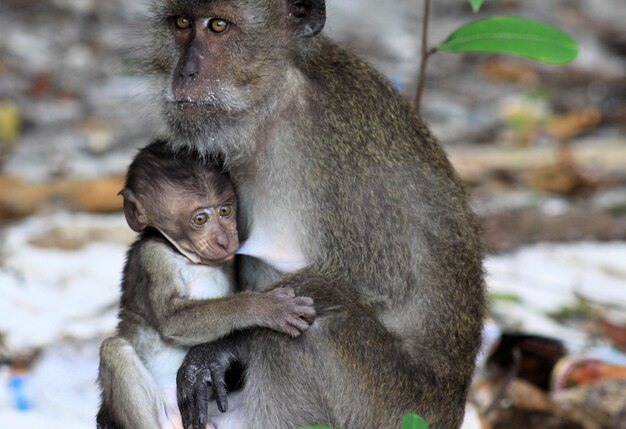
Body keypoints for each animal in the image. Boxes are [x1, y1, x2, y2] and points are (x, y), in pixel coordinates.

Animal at [95, 140, 314, 428]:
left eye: (225, 210)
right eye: (200, 219)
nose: (225, 239)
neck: (187, 256)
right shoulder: (154, 259)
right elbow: (171, 320)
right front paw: (264, 307)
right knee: (115, 349)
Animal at [145, 0, 482, 428]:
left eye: (218, 25)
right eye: (182, 24)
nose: (185, 72)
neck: (278, 107)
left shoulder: (344, 152)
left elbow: (380, 280)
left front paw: (220, 348)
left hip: (396, 406)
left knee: (308, 326)